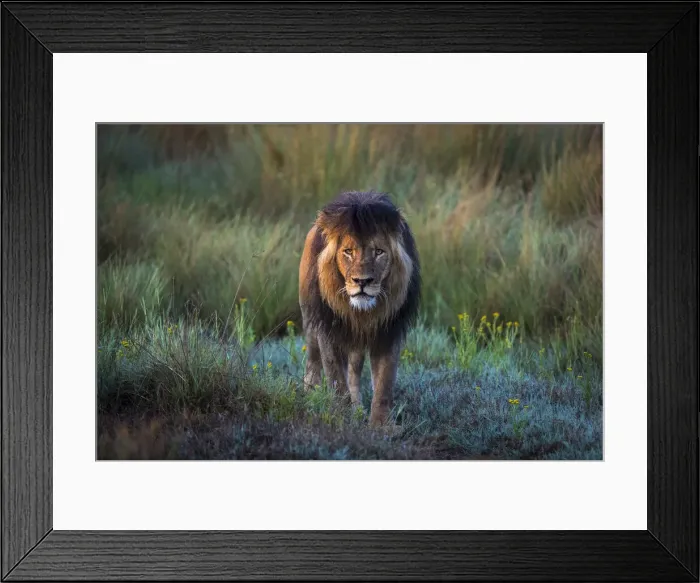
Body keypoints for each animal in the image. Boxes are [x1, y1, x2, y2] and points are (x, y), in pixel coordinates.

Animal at [298, 190, 421, 426]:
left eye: (379, 252)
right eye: (348, 251)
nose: (362, 281)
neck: (360, 313)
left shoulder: (388, 331)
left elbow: (383, 383)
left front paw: (381, 425)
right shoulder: (327, 329)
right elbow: (336, 379)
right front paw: (342, 419)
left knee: (354, 372)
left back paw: (357, 409)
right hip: (310, 320)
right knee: (313, 362)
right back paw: (309, 396)